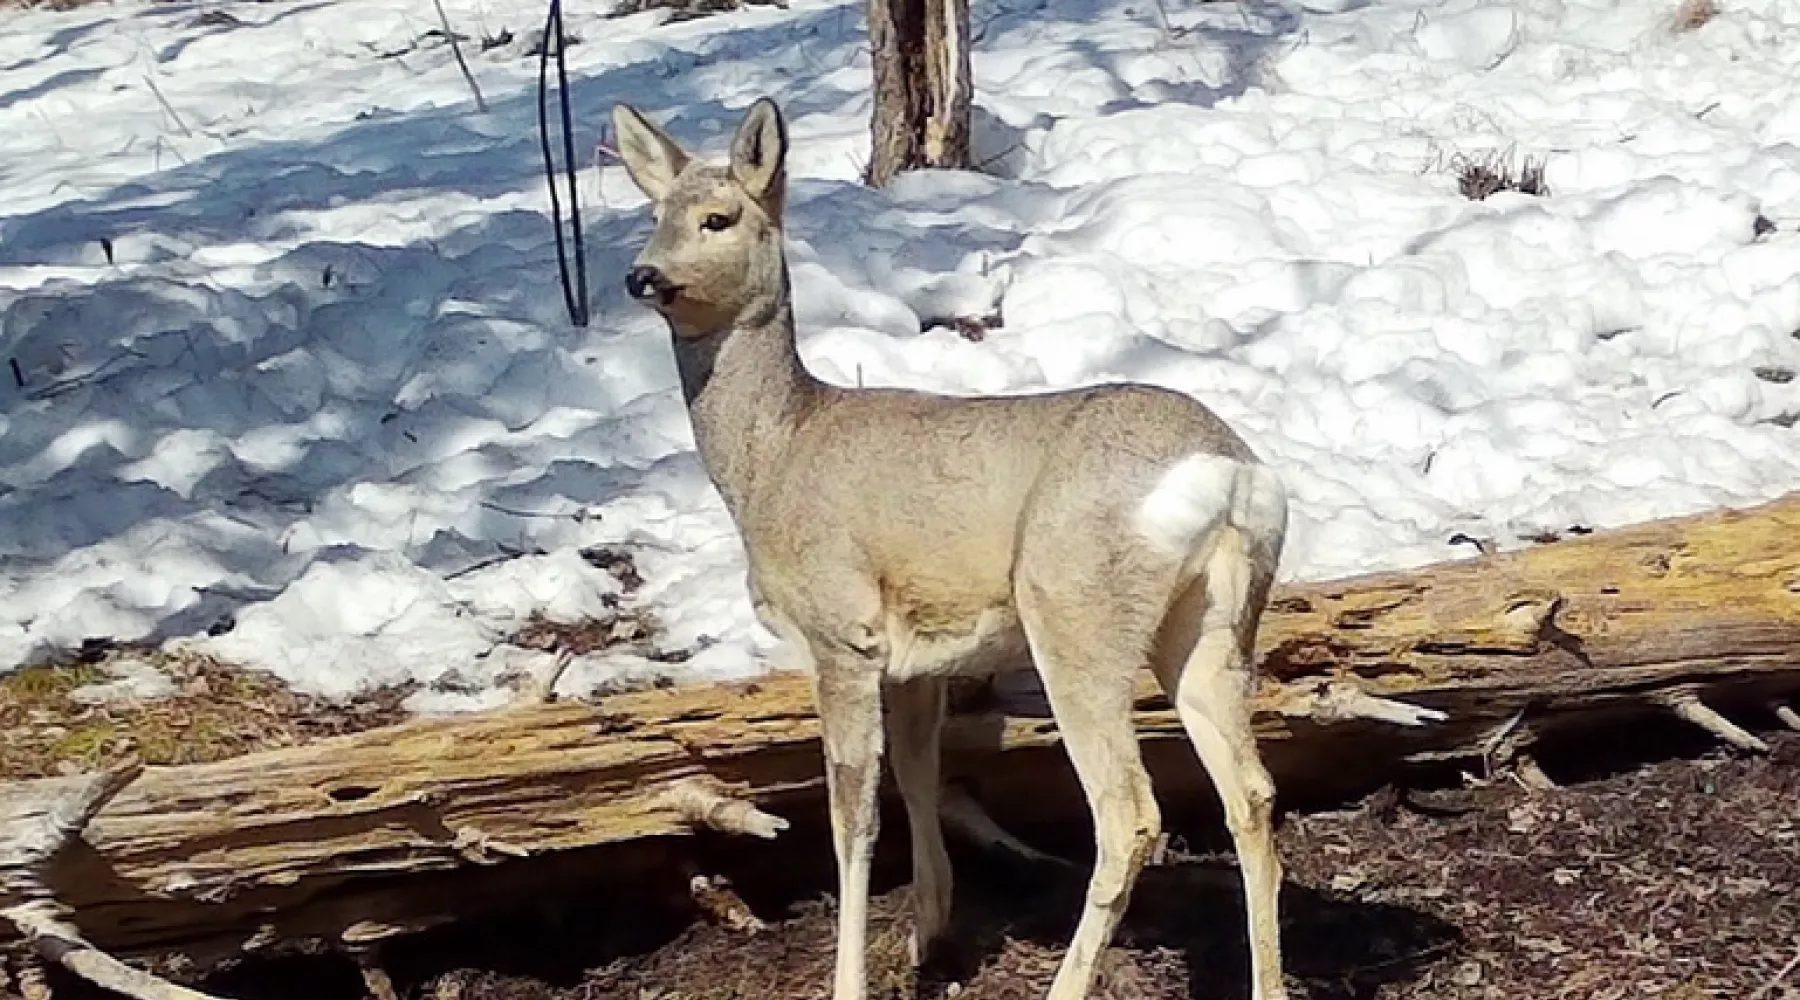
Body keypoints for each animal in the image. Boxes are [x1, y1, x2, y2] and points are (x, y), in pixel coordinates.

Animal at [619, 95, 1296, 1000]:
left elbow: (853, 816)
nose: (642, 277)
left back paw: (1065, 985)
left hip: (1076, 614)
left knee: (1128, 813)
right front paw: (926, 938)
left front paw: (855, 978)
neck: (776, 457)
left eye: (718, 217)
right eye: (652, 215)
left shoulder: (842, 632)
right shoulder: (918, 659)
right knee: (1250, 793)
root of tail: (1229, 474)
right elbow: (918, 777)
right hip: (1214, 622)